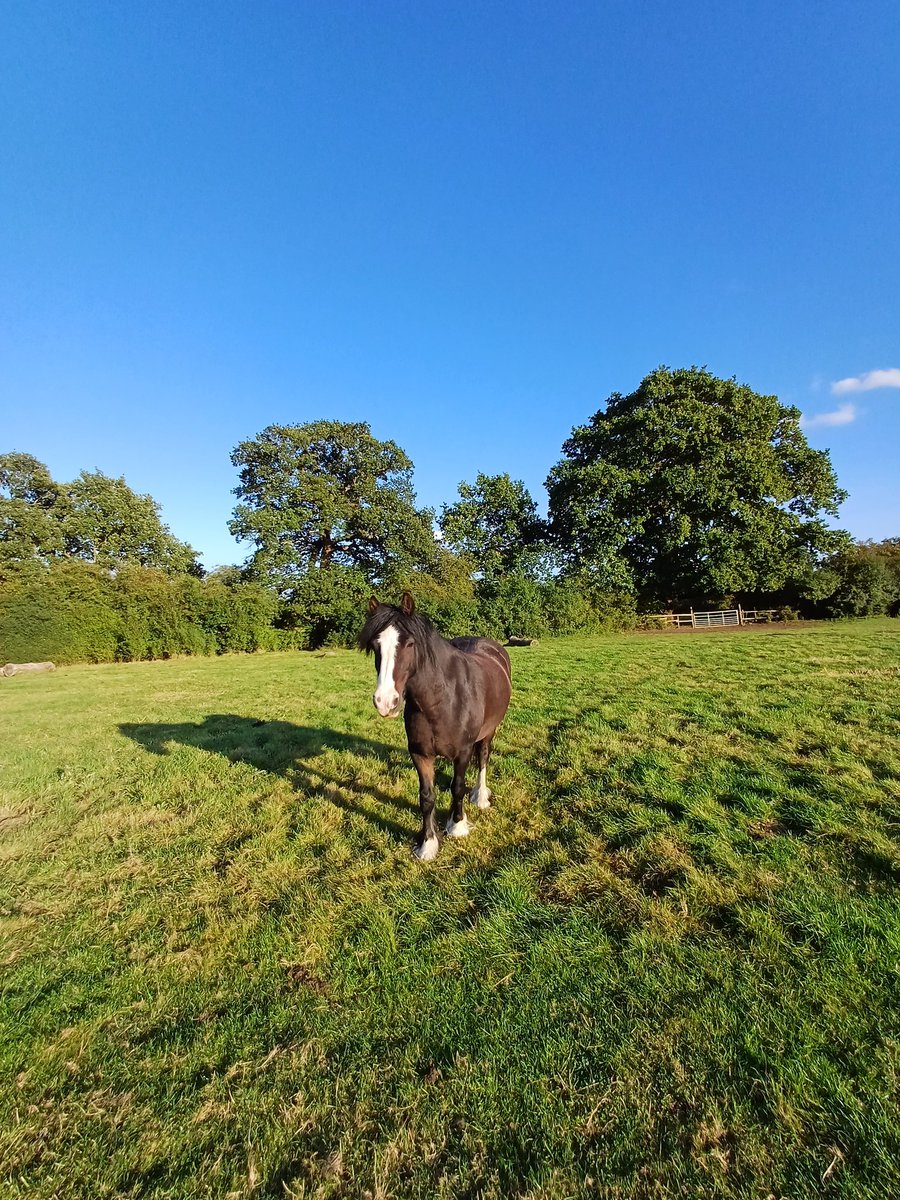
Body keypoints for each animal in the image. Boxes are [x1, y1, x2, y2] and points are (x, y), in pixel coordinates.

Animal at [358, 592, 512, 861]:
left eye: (409, 644)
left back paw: (480, 796)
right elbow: (427, 797)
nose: (385, 702)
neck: (442, 700)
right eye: (376, 646)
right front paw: (428, 844)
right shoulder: (420, 754)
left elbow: (457, 787)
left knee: (483, 757)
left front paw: (457, 825)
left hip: (489, 731)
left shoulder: (463, 751)